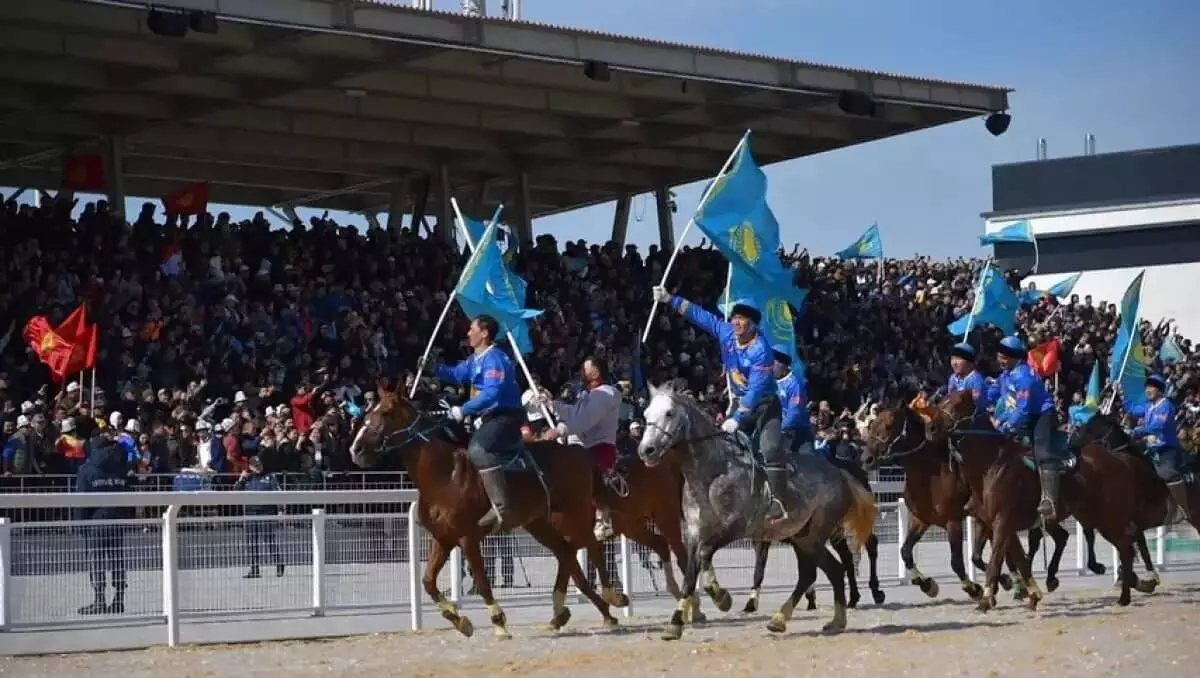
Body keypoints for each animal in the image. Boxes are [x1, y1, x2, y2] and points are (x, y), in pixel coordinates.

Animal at [350, 388, 628, 638]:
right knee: (566, 552)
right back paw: (572, 612)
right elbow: (428, 581)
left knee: (591, 545)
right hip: (539, 523)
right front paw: (459, 619)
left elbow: (483, 583)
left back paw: (612, 596)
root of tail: (579, 452)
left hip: (574, 513)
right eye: (367, 411)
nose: (357, 449)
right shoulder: (442, 538)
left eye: (386, 413)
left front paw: (498, 622)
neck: (445, 475)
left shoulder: (467, 538)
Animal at [936, 391, 1152, 607]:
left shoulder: (1003, 521)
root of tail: (1118, 460)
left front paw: (994, 593)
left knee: (1125, 543)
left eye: (956, 404)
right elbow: (980, 556)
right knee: (1110, 541)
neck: (993, 465)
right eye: (943, 401)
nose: (932, 427)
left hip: (1105, 515)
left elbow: (999, 556)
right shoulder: (988, 521)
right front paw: (1012, 586)